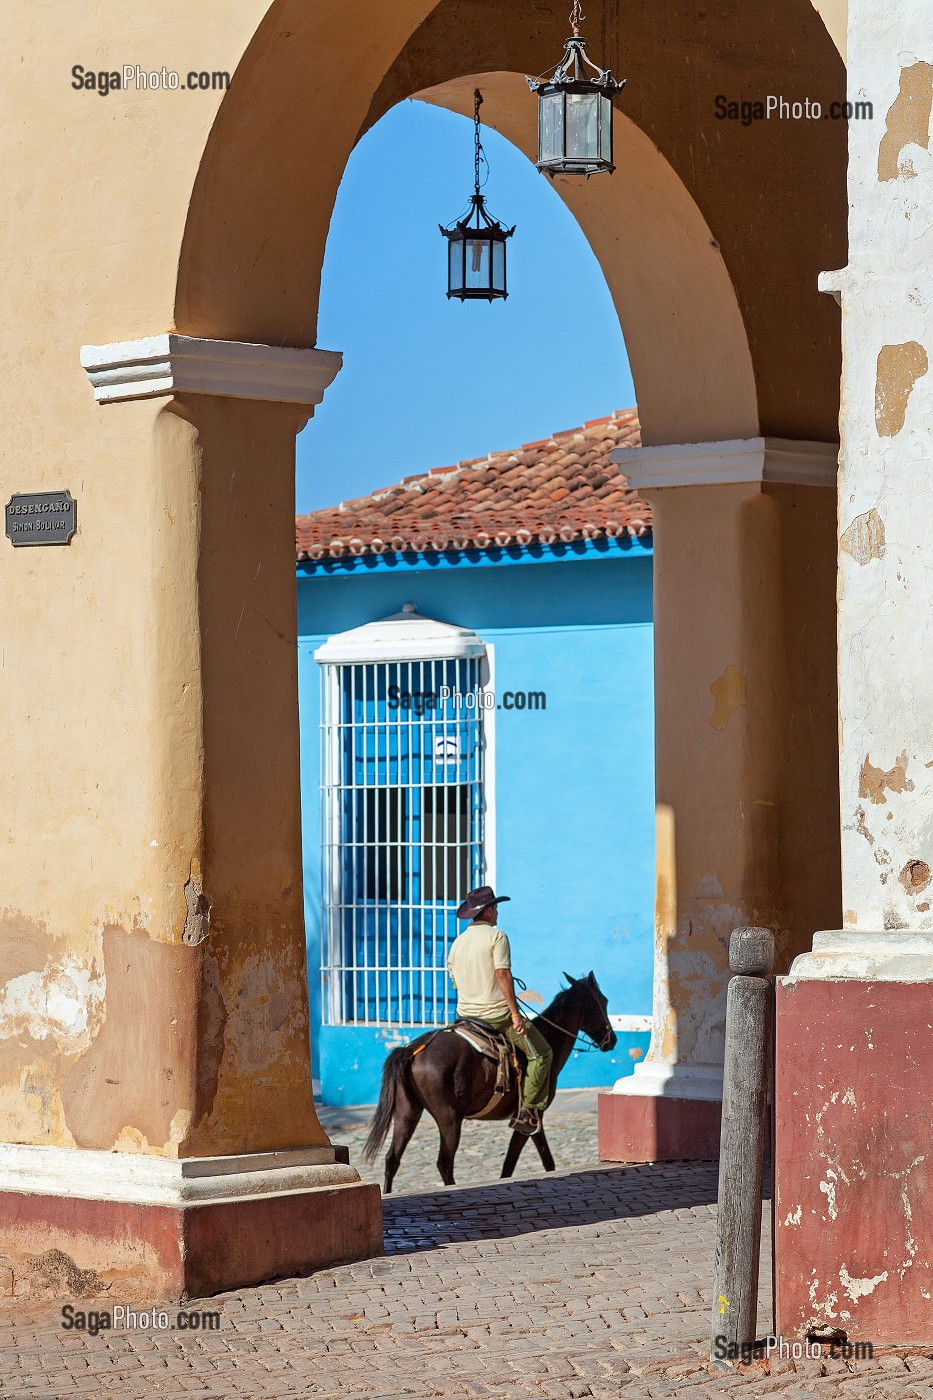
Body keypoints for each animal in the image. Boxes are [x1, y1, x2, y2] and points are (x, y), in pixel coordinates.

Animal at [362, 971, 617, 1193]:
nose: (612, 1040)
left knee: (392, 1159)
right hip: (449, 1120)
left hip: (407, 1113)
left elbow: (528, 1163)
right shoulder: (531, 1118)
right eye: (603, 1001)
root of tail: (413, 1049)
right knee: (444, 1163)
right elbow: (520, 1163)